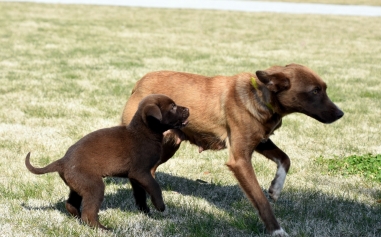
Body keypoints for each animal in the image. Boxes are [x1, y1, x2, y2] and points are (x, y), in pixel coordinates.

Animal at [24, 94, 189, 230]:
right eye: (173, 107)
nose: (187, 108)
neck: (144, 133)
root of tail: (62, 161)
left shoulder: (135, 178)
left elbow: (140, 195)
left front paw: (146, 212)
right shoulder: (141, 172)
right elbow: (155, 187)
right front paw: (160, 206)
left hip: (78, 185)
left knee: (71, 204)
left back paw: (77, 218)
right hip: (93, 185)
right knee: (88, 213)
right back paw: (102, 228)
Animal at [121, 64, 344, 236]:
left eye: (324, 89)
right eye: (315, 91)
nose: (341, 114)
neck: (259, 95)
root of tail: (138, 83)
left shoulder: (260, 141)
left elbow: (285, 159)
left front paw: (276, 188)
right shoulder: (240, 159)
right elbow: (261, 200)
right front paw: (276, 230)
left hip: (168, 144)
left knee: (149, 171)